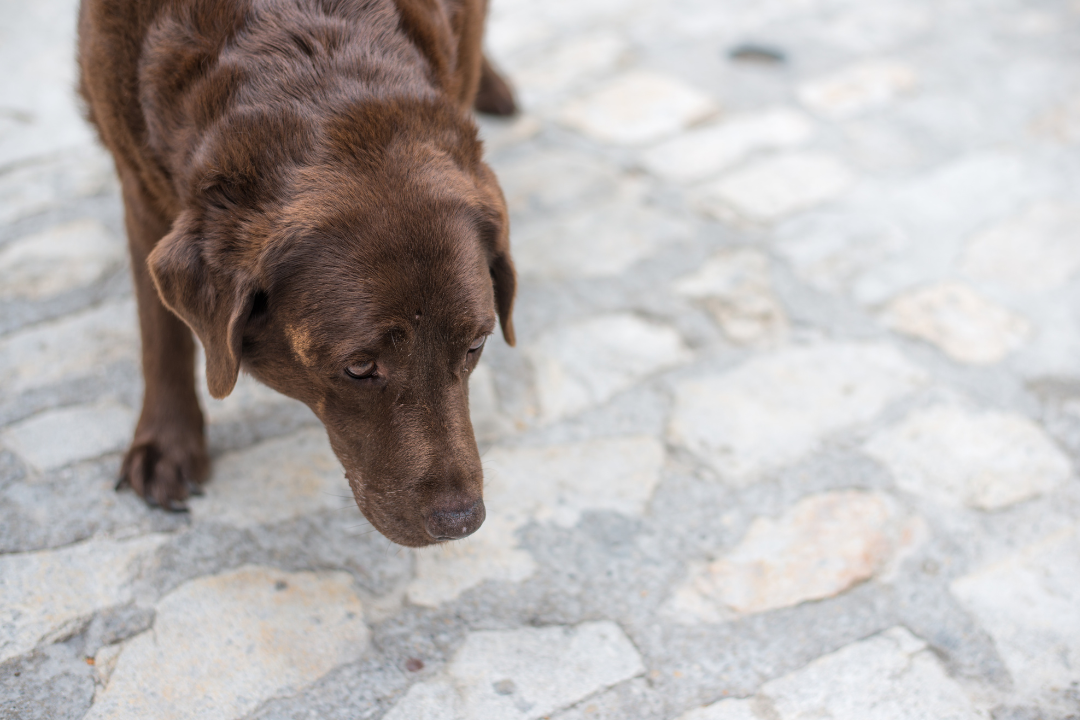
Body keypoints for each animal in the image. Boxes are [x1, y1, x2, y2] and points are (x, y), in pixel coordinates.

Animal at [78, 0, 516, 546]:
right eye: (359, 367)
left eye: (474, 346)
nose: (461, 521)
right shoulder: (137, 179)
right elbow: (161, 334)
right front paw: (167, 444)